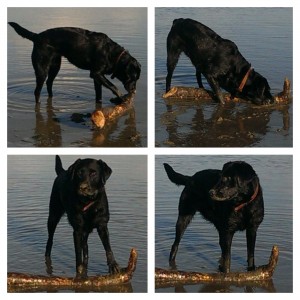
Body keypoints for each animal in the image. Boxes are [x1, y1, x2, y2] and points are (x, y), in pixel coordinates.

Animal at [7, 22, 142, 103]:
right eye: (132, 78)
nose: (134, 91)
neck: (111, 53)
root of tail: (37, 36)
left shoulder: (97, 77)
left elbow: (99, 94)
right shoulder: (96, 73)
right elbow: (113, 86)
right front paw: (121, 97)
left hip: (55, 66)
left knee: (49, 83)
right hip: (42, 69)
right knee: (37, 90)